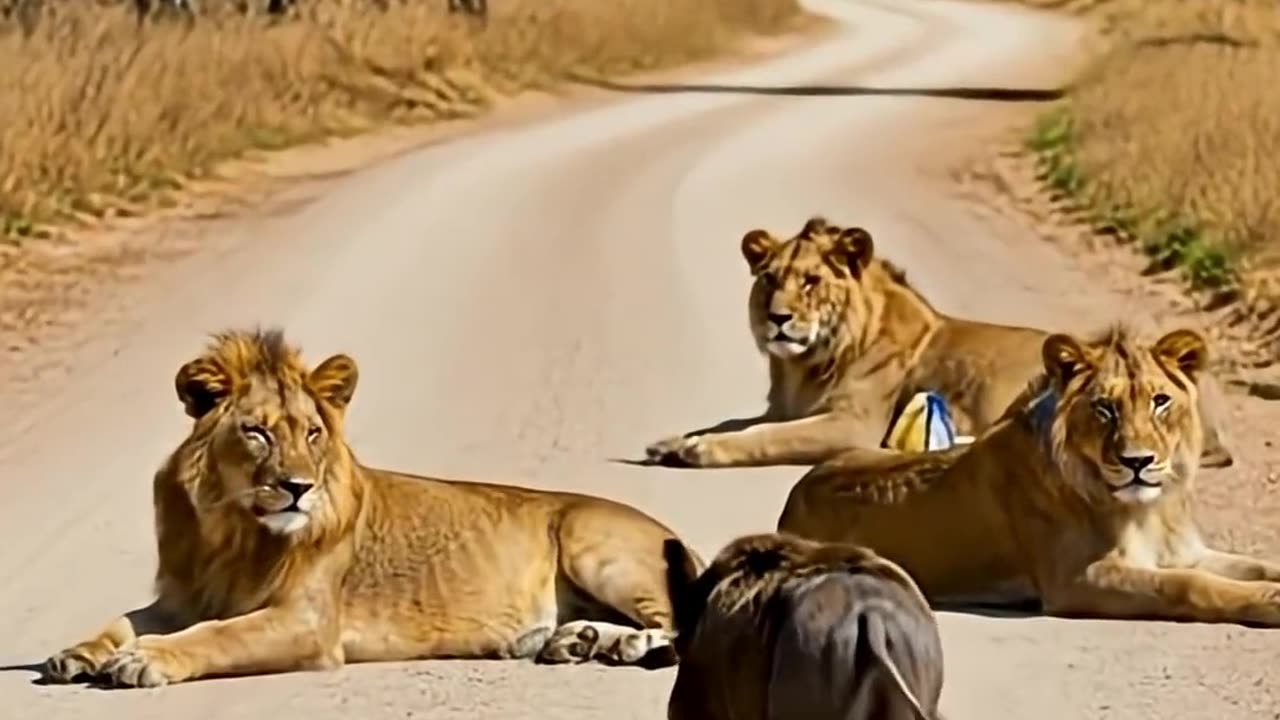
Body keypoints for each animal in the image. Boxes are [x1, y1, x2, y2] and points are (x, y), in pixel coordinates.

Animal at [43, 327, 703, 688]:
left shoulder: (307, 624)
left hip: (593, 544)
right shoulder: (179, 598)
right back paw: (576, 640)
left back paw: (621, 646)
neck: (230, 530)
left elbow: (216, 635)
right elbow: (123, 620)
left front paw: (144, 660)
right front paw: (76, 653)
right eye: (257, 433)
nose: (297, 487)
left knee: (676, 624)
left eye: (312, 434)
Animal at [642, 216, 1234, 471]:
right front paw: (674, 440)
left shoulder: (852, 423)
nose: (777, 319)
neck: (803, 366)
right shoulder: (784, 406)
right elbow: (736, 422)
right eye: (769, 279)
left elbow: (763, 437)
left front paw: (700, 450)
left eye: (810, 282)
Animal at [776, 325, 1280, 625]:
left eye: (1160, 401)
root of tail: (793, 498)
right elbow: (1187, 585)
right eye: (1104, 408)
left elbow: (1254, 564)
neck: (1151, 510)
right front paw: (1268, 601)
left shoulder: (1186, 552)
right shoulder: (1075, 579)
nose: (1138, 461)